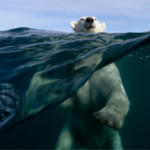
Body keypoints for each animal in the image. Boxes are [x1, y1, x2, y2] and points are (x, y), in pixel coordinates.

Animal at [55, 16, 129, 149]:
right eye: (81, 18)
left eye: (96, 18)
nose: (89, 19)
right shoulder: (77, 75)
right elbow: (70, 101)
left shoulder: (105, 71)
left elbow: (116, 91)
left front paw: (107, 117)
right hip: (71, 131)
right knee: (63, 144)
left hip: (113, 138)